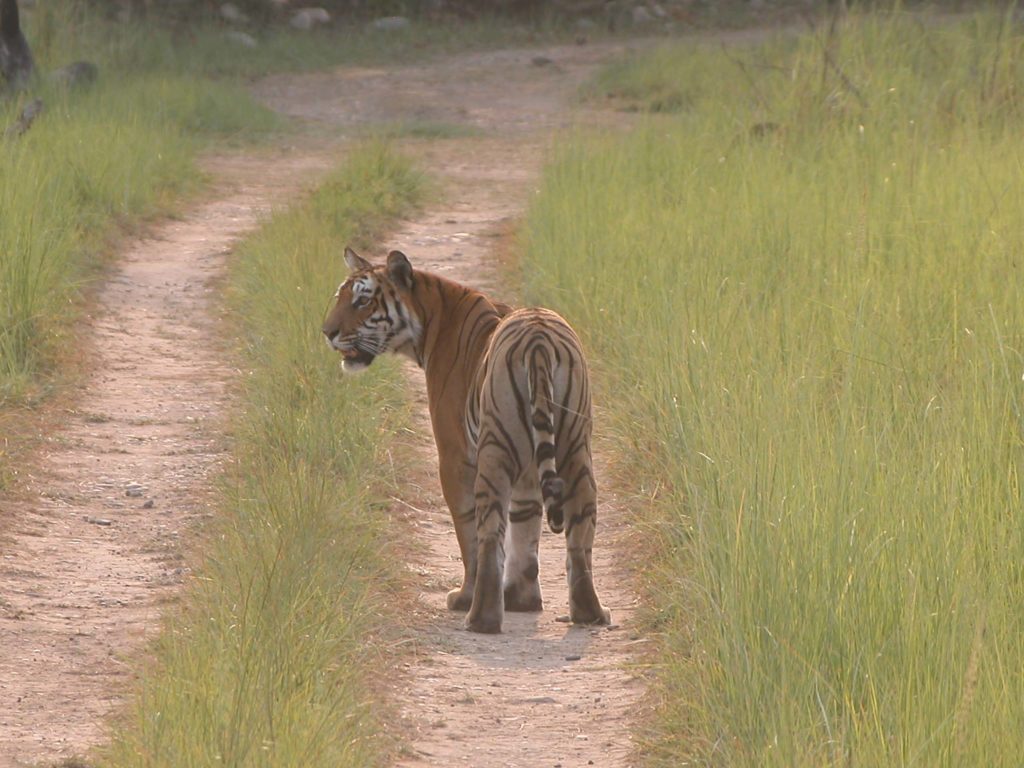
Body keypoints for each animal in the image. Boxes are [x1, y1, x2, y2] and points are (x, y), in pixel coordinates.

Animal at [321, 249, 606, 634]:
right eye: (341, 296)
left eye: (362, 301)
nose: (327, 333)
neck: (432, 316)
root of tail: (538, 341)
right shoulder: (529, 472)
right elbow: (525, 527)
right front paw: (521, 600)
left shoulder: (454, 453)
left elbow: (467, 530)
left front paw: (468, 597)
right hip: (575, 449)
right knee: (579, 534)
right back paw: (589, 613)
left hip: (494, 451)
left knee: (487, 535)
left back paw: (479, 617)